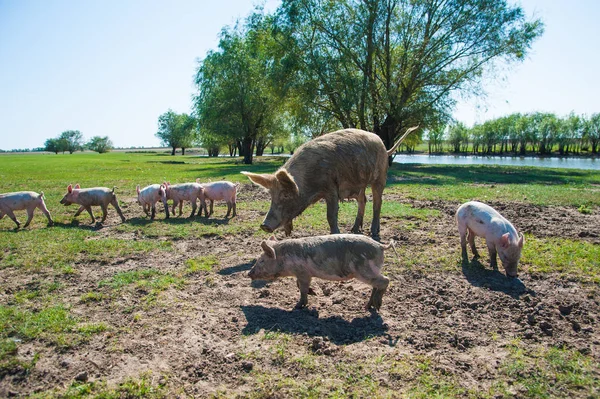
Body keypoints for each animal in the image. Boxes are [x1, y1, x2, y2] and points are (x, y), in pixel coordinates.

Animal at [239, 126, 418, 239]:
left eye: (285, 195)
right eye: (271, 196)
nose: (264, 225)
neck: (309, 185)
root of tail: (385, 147)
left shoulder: (331, 187)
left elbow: (331, 215)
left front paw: (336, 235)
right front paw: (288, 233)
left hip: (380, 176)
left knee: (377, 202)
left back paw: (374, 233)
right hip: (359, 184)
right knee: (363, 200)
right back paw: (354, 230)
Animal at [246, 236, 396, 310]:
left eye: (262, 260)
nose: (248, 273)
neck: (285, 258)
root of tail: (380, 246)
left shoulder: (303, 273)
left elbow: (302, 288)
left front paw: (298, 306)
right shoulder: (304, 274)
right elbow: (299, 285)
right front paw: (314, 293)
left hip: (363, 270)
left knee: (385, 280)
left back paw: (377, 306)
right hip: (372, 269)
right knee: (376, 284)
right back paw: (368, 306)